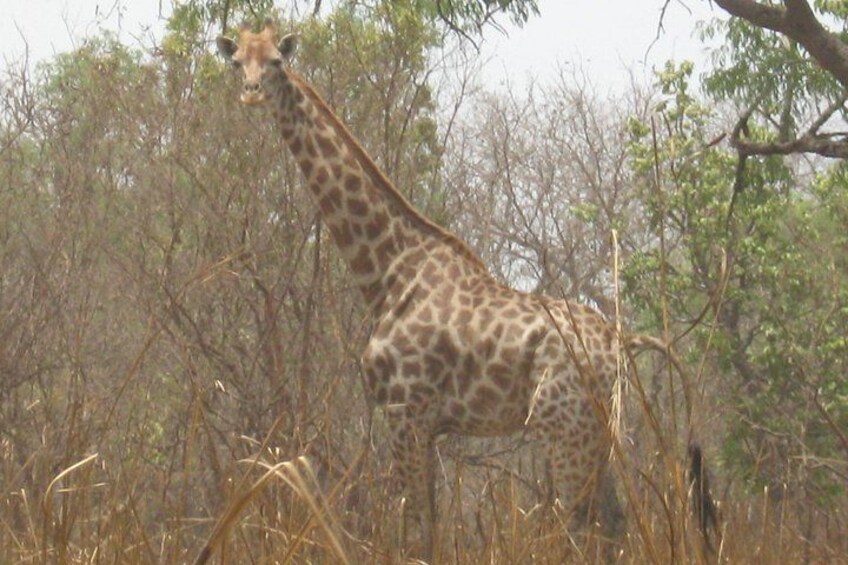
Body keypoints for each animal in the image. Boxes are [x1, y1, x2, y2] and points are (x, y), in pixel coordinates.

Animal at [215, 22, 704, 560]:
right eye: (237, 61)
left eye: (276, 63)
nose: (252, 92)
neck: (387, 272)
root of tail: (622, 343)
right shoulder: (426, 424)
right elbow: (427, 525)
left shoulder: (405, 412)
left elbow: (418, 530)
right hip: (600, 433)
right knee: (613, 524)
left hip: (564, 427)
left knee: (580, 527)